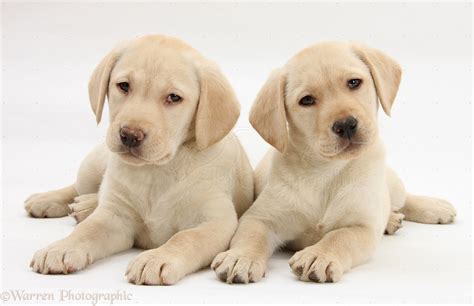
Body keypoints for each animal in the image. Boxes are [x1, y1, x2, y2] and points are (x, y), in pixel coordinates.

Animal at [25, 35, 256, 284]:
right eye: (124, 86)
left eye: (174, 97)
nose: (129, 135)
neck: (156, 171)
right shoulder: (115, 218)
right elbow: (87, 230)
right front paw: (61, 248)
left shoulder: (215, 222)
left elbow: (184, 238)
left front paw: (155, 259)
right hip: (92, 166)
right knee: (78, 188)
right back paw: (48, 199)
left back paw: (84, 205)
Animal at [211, 41, 456, 284]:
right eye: (307, 100)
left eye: (354, 82)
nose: (346, 124)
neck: (325, 171)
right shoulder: (260, 217)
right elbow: (252, 235)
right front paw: (241, 256)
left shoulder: (362, 228)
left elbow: (339, 236)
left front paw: (319, 255)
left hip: (390, 185)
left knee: (402, 199)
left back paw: (433, 207)